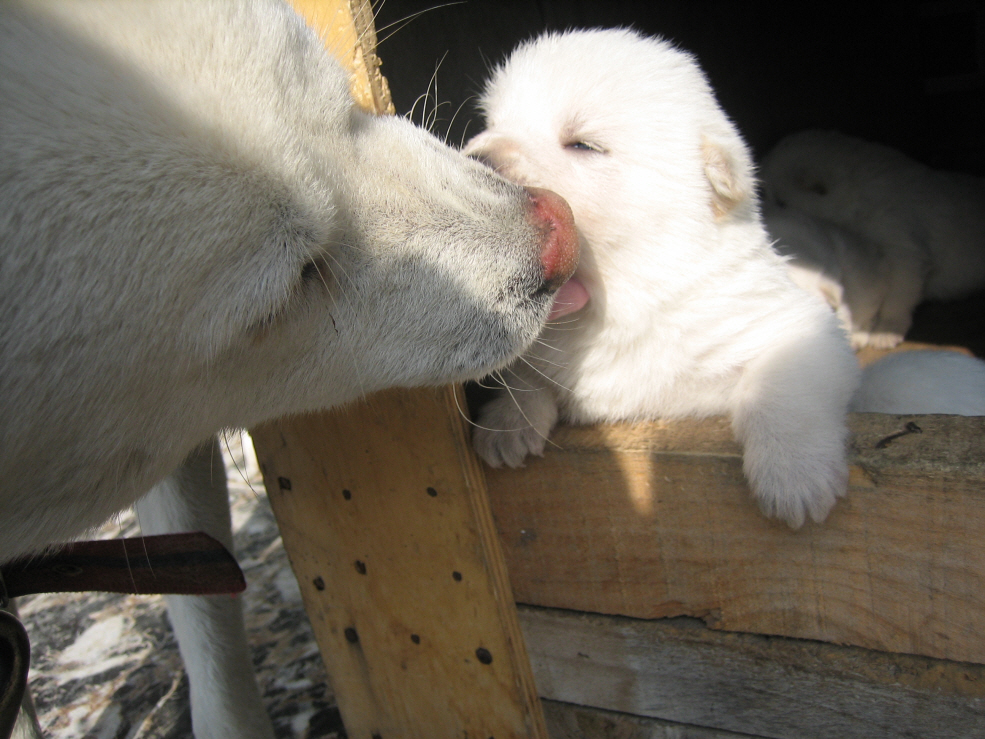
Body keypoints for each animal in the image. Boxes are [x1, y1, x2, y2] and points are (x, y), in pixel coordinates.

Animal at [466, 27, 856, 528]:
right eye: (492, 122)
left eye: (582, 144)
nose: (475, 159)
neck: (621, 297)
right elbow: (525, 376)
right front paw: (505, 425)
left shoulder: (791, 324)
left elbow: (781, 384)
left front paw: (794, 477)